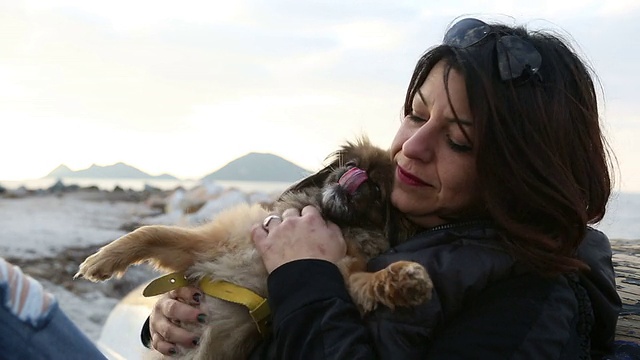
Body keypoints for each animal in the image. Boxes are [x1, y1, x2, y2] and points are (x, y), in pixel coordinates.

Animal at [77, 136, 432, 358]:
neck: (327, 217)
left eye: (376, 190)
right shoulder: (203, 247)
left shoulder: (343, 277)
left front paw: (407, 277)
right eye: (351, 163)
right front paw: (101, 261)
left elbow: (371, 280)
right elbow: (150, 233)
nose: (358, 174)